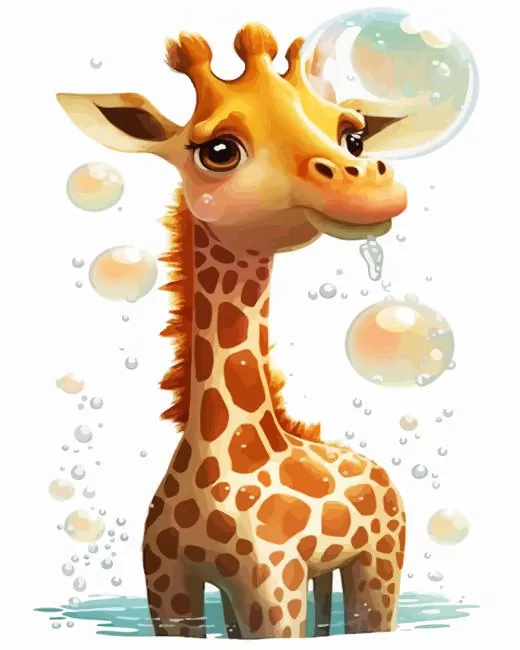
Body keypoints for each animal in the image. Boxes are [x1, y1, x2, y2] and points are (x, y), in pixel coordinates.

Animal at [57, 23, 412, 639]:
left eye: (353, 137)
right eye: (218, 150)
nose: (367, 184)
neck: (224, 456)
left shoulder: (276, 590)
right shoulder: (169, 588)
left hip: (378, 565)